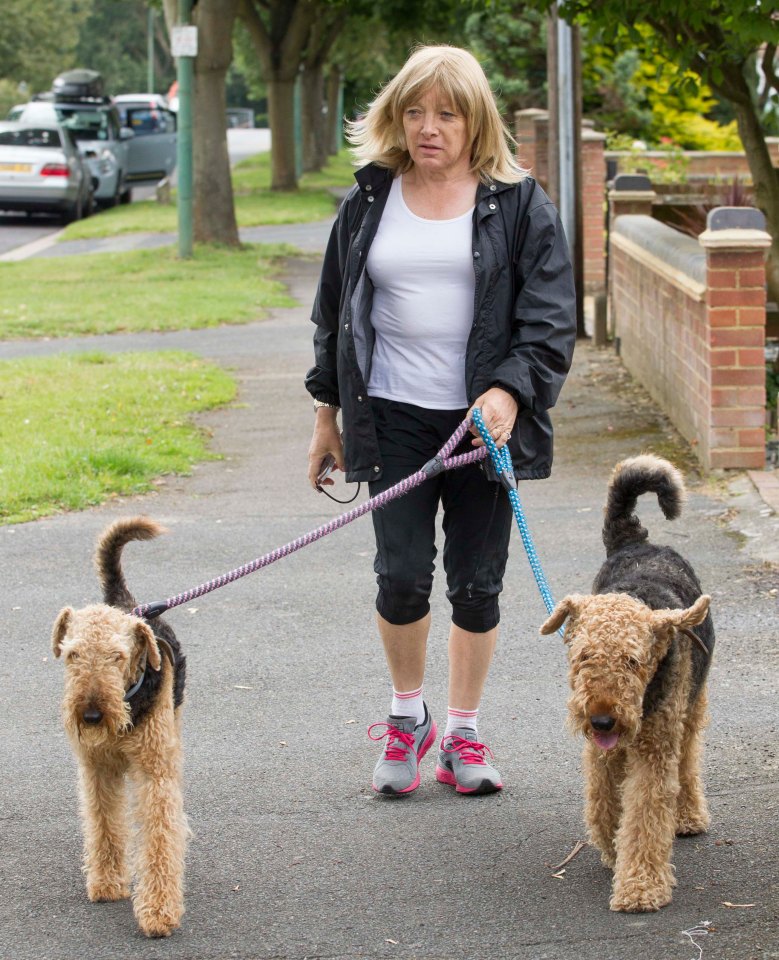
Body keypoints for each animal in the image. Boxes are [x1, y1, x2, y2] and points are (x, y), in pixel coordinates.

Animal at [544, 454, 712, 912]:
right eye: (583, 656)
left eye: (633, 661)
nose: (602, 720)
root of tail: (636, 541)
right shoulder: (602, 754)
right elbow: (604, 803)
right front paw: (610, 845)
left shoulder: (654, 749)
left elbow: (645, 815)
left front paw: (640, 886)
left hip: (690, 707)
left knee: (687, 758)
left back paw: (689, 815)